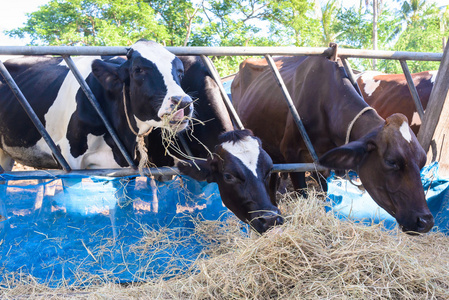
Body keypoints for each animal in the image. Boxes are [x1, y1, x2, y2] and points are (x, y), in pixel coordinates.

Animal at [231, 55, 434, 234]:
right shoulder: (292, 153)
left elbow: (323, 193)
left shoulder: (323, 160)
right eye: (391, 161)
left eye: (422, 162)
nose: (426, 221)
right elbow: (303, 194)